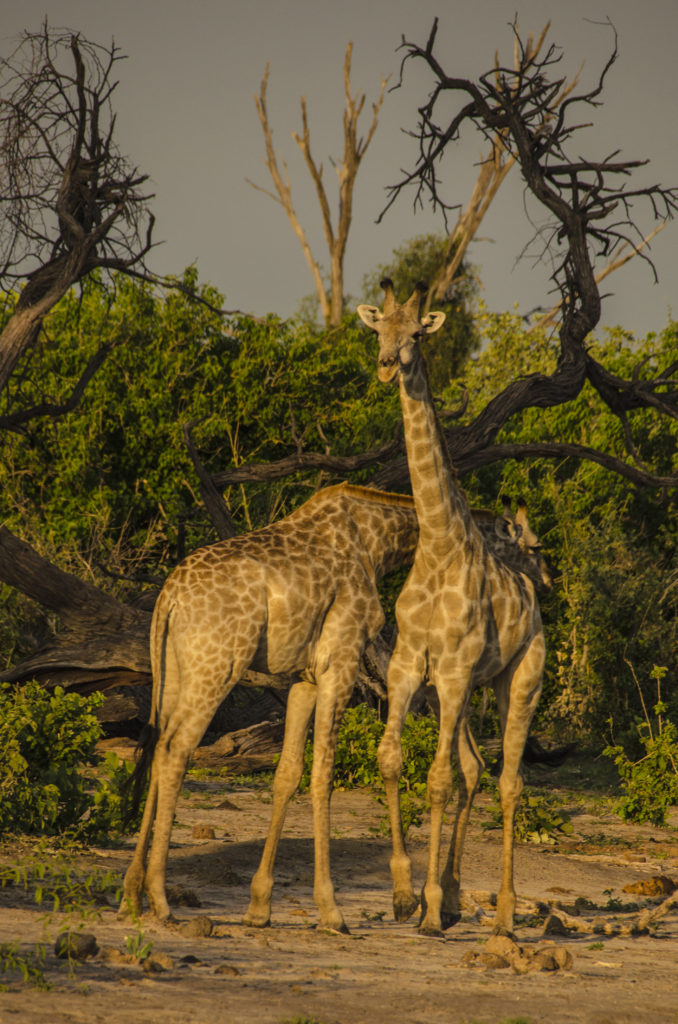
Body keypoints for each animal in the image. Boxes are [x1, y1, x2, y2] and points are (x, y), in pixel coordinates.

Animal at [358, 280, 557, 937]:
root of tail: (536, 603)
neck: (440, 542)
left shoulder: (448, 670)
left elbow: (438, 778)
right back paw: (449, 893)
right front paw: (405, 893)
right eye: (378, 329)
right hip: (473, 687)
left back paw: (503, 915)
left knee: (508, 781)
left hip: (519, 680)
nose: (387, 364)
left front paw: (424, 909)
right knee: (474, 768)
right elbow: (391, 759)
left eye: (417, 333)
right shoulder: (406, 664)